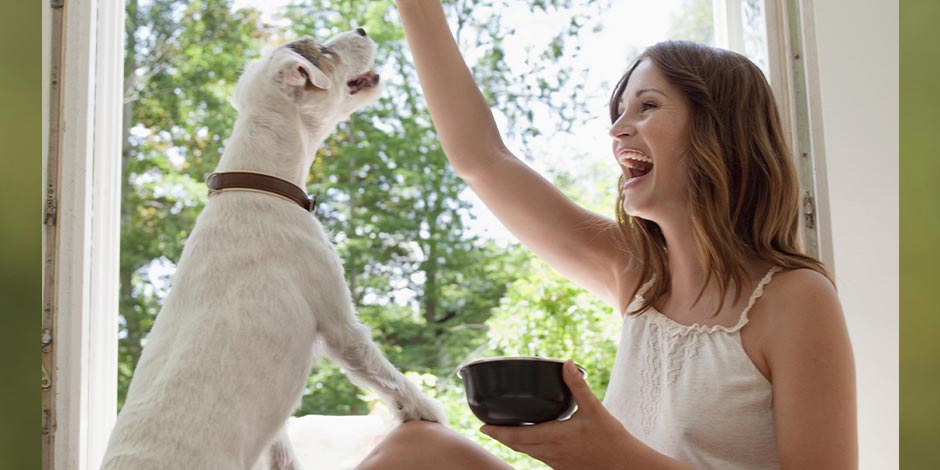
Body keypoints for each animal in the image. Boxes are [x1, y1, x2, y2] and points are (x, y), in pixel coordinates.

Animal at [101, 29, 446, 470]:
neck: (258, 182)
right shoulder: (339, 323)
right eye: (323, 50)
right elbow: (386, 377)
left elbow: (280, 449)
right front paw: (427, 411)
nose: (362, 31)